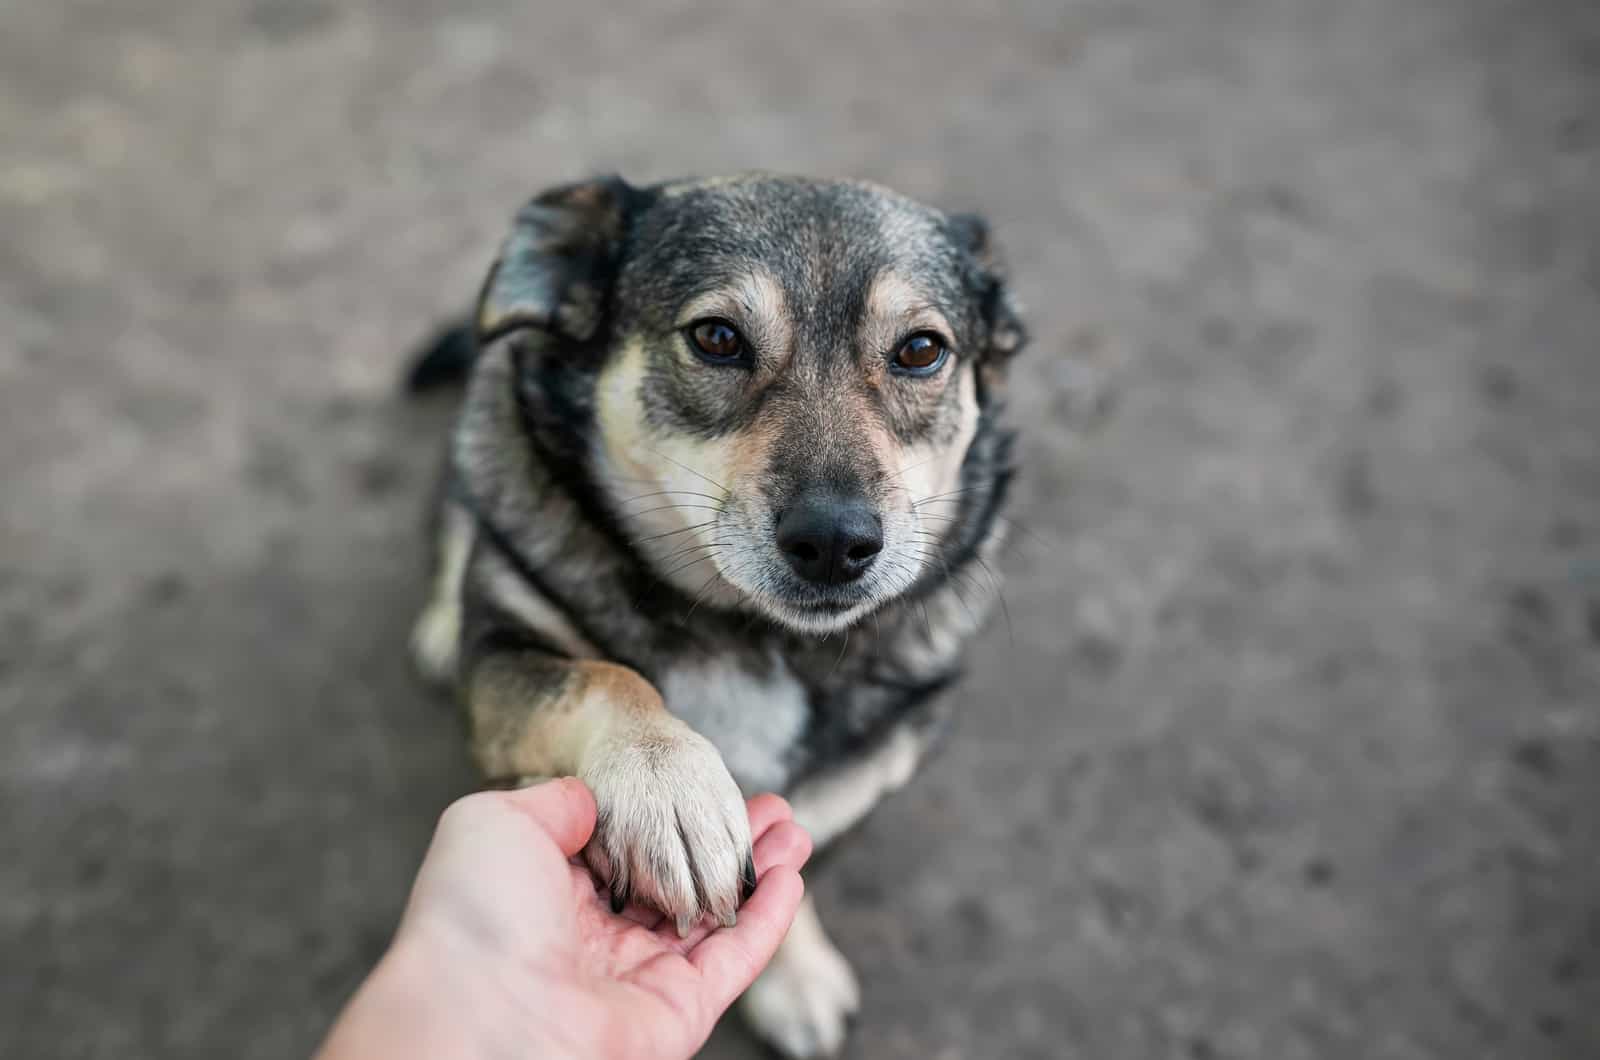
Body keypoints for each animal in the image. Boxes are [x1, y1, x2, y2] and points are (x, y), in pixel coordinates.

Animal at [406, 170, 1017, 1056]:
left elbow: (792, 844)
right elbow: (604, 677)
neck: (751, 633)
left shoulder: (871, 760)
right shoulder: (502, 659)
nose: (835, 542)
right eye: (718, 337)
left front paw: (792, 974)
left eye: (920, 350)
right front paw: (670, 785)